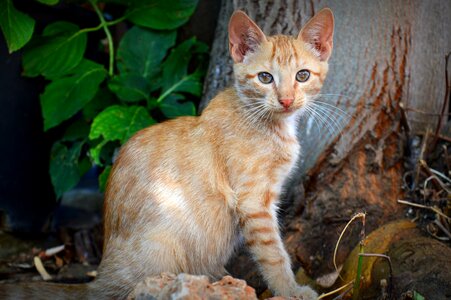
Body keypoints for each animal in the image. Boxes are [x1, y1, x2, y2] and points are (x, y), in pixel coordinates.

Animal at [0, 7, 334, 300]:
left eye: (302, 75)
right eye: (266, 78)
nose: (287, 100)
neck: (266, 122)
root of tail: (99, 279)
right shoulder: (254, 202)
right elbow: (273, 253)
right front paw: (290, 290)